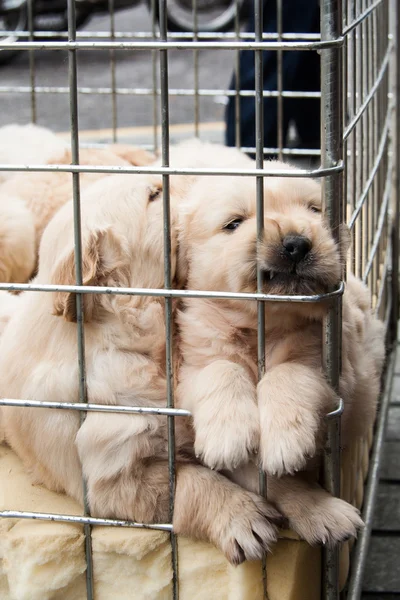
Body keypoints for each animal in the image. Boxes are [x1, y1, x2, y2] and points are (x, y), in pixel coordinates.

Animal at [176, 166, 384, 548]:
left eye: (315, 210)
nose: (296, 244)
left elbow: (288, 374)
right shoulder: (190, 369)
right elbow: (220, 369)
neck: (263, 325)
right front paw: (228, 434)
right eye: (234, 223)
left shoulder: (337, 374)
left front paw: (285, 442)